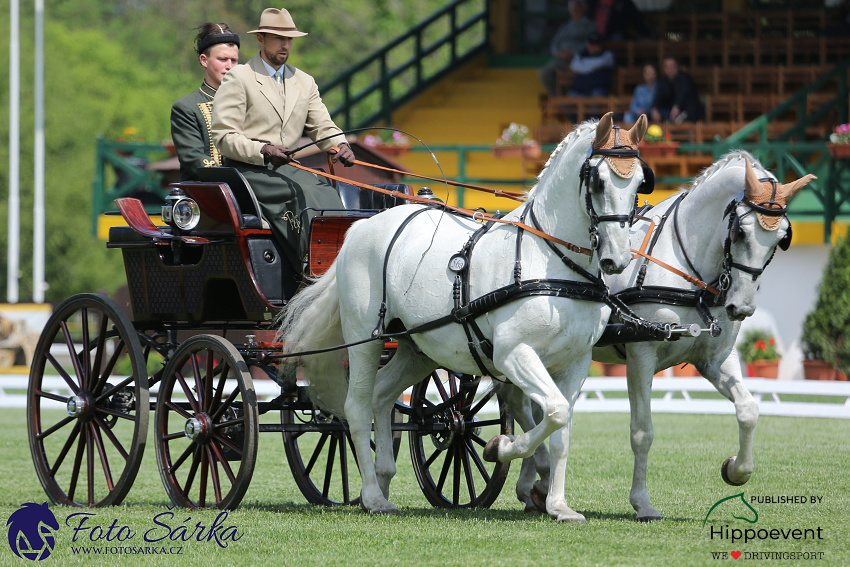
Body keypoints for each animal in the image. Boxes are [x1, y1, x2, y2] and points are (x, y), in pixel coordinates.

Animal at [278, 113, 648, 520]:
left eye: (639, 183)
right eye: (598, 181)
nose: (617, 259)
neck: (548, 259)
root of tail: (360, 227)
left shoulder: (576, 362)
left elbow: (562, 426)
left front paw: (558, 505)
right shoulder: (513, 354)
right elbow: (553, 412)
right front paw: (500, 448)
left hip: (417, 347)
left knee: (381, 395)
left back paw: (382, 481)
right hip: (365, 340)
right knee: (355, 408)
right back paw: (373, 496)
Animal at [506, 150, 812, 520]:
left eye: (782, 237)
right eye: (740, 231)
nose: (741, 307)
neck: (689, 269)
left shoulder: (715, 361)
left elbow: (749, 410)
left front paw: (736, 470)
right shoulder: (641, 356)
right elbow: (642, 432)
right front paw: (642, 503)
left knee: (528, 406)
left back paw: (531, 486)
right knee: (523, 407)